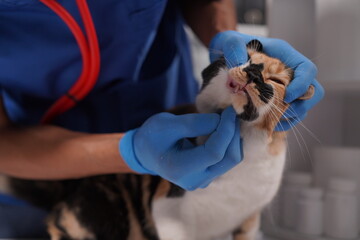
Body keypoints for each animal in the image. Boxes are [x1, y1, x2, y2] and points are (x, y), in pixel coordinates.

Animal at [4, 38, 316, 239]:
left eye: (275, 81)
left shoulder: (249, 221)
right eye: (247, 60)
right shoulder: (167, 211)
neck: (244, 145)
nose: (252, 72)